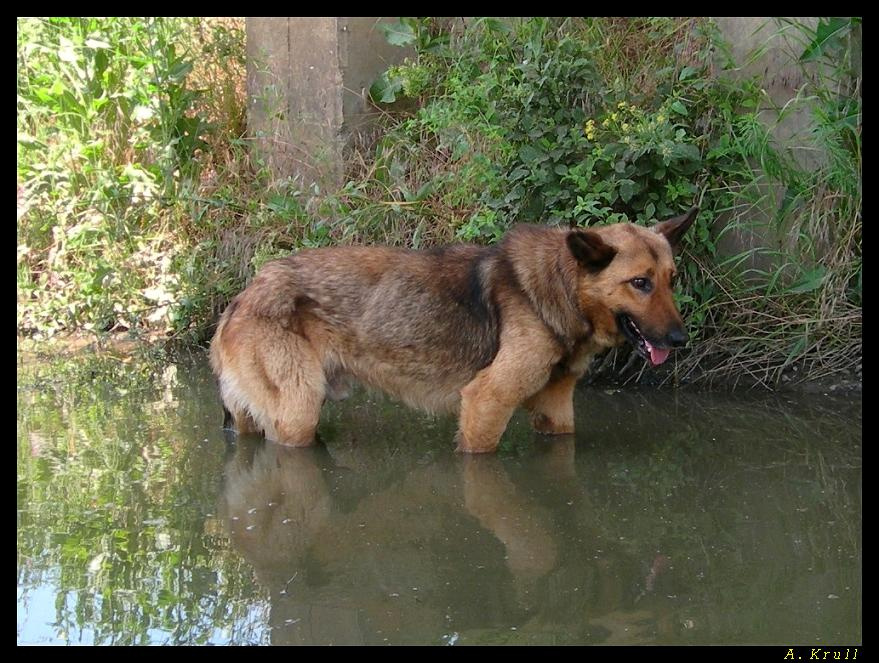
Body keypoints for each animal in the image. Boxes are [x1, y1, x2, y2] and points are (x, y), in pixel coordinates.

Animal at [210, 206, 698, 453]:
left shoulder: (556, 413)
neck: (559, 286)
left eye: (671, 280)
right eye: (640, 283)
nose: (680, 340)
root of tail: (241, 299)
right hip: (298, 415)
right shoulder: (486, 403)